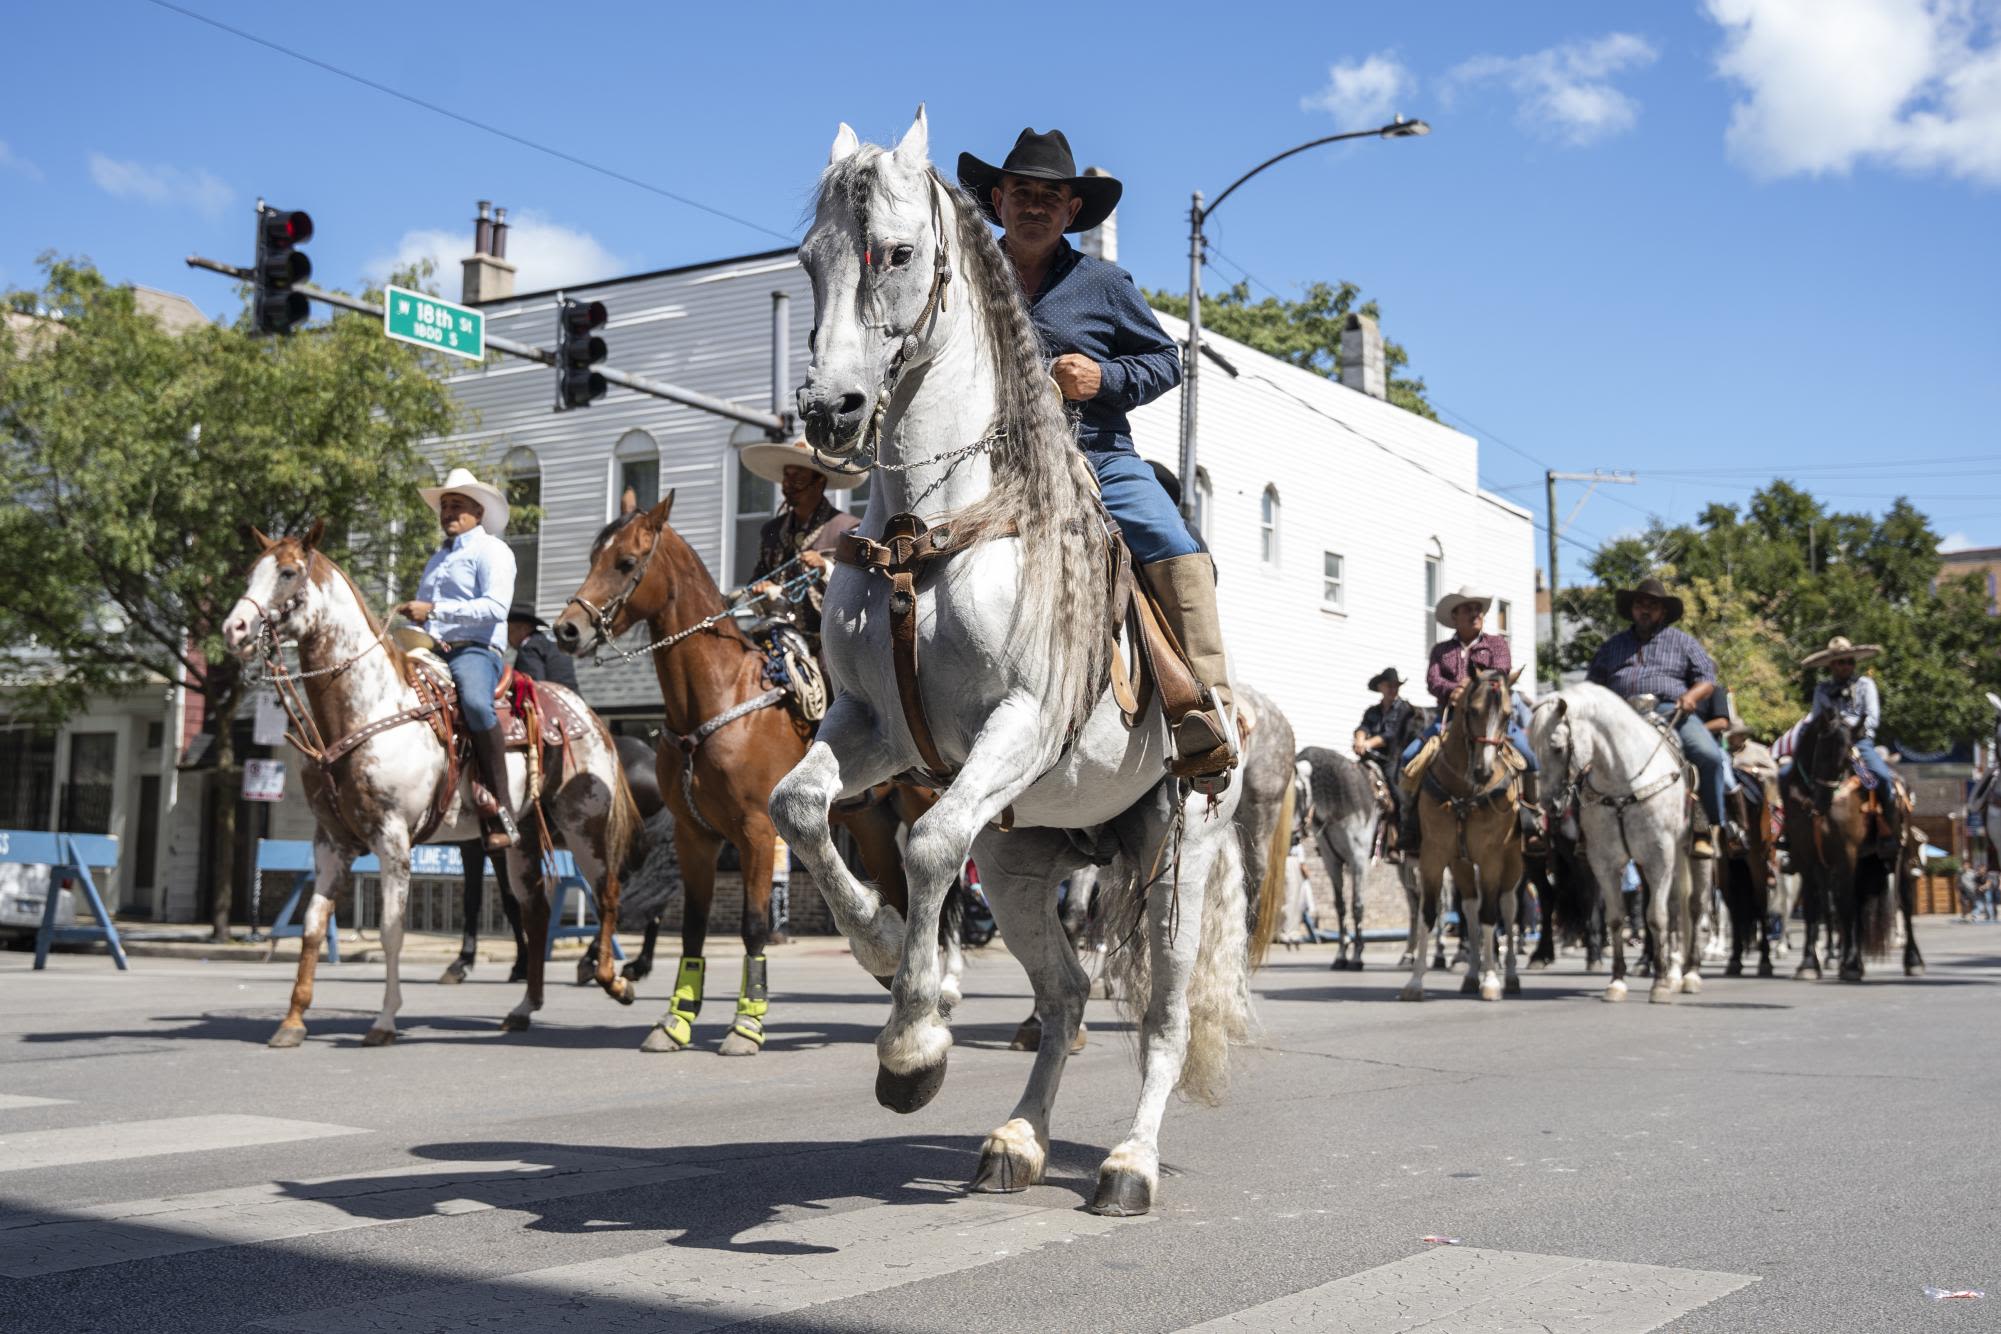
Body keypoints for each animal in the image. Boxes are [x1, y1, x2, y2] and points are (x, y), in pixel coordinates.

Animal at [221, 528, 640, 1048]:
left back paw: (614, 981)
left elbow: (391, 932)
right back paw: (524, 1008)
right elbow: (315, 925)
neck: (370, 706)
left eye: (287, 572)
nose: (234, 628)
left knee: (607, 892)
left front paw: (384, 1022)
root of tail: (587, 716)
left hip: (587, 825)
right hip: (518, 839)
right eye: (249, 573)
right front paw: (293, 1020)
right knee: (537, 910)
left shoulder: (393, 839)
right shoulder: (331, 842)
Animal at [556, 490, 944, 1056]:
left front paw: (747, 1023)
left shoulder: (758, 832)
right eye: (590, 558)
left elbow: (755, 926)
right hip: (868, 820)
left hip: (918, 803)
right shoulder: (695, 835)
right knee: (894, 888)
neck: (714, 698)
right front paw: (675, 1019)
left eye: (625, 562)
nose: (567, 628)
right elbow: (693, 926)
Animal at [1400, 668, 1520, 1000]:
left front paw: (1491, 981)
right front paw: (1415, 982)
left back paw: (1511, 976)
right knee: (1469, 907)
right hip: (1462, 864)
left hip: (1513, 861)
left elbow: (1491, 915)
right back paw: (1470, 975)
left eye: (1508, 715)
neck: (1466, 791)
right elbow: (1429, 914)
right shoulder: (1433, 856)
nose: (1483, 771)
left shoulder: (1492, 858)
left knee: (1508, 906)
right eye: (1472, 710)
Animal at [1528, 684, 1704, 1008]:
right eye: (1533, 748)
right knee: (1674, 907)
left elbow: (1656, 917)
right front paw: (1617, 982)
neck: (1625, 784)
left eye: (1557, 747)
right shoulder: (1604, 862)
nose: (1550, 806)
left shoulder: (1659, 857)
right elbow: (1615, 917)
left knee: (1693, 907)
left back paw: (1688, 974)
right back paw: (1665, 968)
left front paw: (1660, 985)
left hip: (1694, 856)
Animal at [1784, 708, 1920, 980]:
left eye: (1848, 759)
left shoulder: (1845, 854)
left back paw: (1912, 960)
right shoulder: (1807, 858)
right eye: (1822, 750)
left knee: (1906, 902)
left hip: (1901, 857)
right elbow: (1815, 907)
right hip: (1863, 861)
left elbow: (1845, 907)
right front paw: (1809, 963)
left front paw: (1849, 964)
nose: (1822, 801)